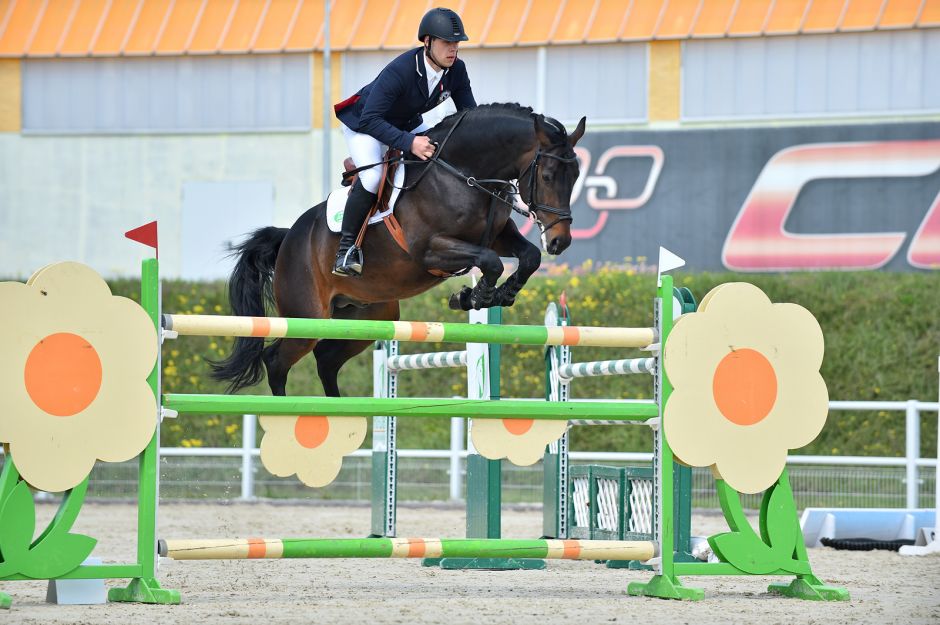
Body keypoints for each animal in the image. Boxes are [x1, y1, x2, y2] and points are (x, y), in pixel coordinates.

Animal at [211, 103, 586, 397]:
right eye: (548, 176)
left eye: (576, 175)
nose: (560, 241)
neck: (463, 174)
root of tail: (288, 237)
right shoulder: (430, 251)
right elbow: (491, 261)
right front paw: (473, 296)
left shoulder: (497, 235)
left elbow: (528, 257)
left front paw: (500, 294)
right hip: (307, 317)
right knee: (276, 361)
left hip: (369, 315)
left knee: (327, 360)